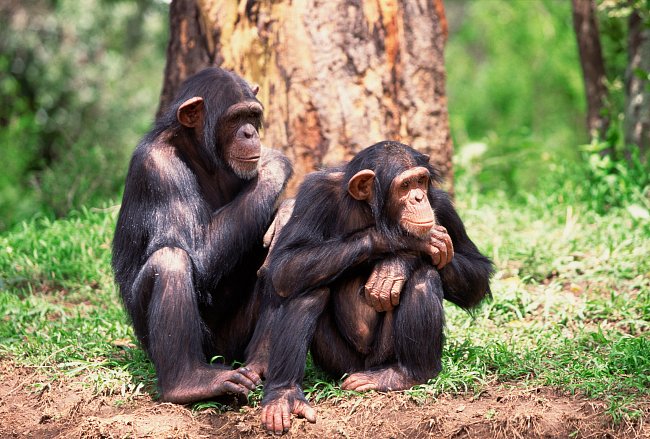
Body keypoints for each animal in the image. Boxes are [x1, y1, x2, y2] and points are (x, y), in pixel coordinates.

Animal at [111, 67, 292, 404]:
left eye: (252, 115)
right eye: (235, 118)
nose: (250, 133)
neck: (200, 155)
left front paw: (288, 209)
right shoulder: (158, 169)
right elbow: (197, 250)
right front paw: (274, 163)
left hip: (233, 344)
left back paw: (263, 361)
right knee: (171, 260)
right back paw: (188, 382)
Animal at [248, 141, 492, 434]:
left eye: (420, 181)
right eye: (405, 186)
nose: (419, 198)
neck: (370, 209)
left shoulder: (441, 205)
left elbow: (477, 273)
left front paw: (397, 264)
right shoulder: (315, 194)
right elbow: (286, 264)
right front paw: (405, 243)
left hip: (383, 355)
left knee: (425, 276)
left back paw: (407, 374)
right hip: (340, 364)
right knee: (306, 289)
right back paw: (282, 396)